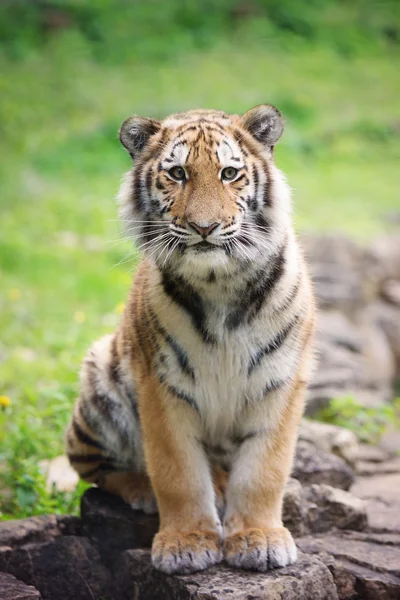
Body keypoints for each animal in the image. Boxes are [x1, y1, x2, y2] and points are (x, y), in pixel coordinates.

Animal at [65, 105, 316, 576]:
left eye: (229, 173)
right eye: (177, 173)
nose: (204, 227)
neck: (220, 284)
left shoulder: (280, 382)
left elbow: (264, 471)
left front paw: (260, 538)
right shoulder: (161, 387)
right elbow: (177, 472)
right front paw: (185, 543)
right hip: (99, 381)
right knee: (95, 470)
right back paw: (143, 489)